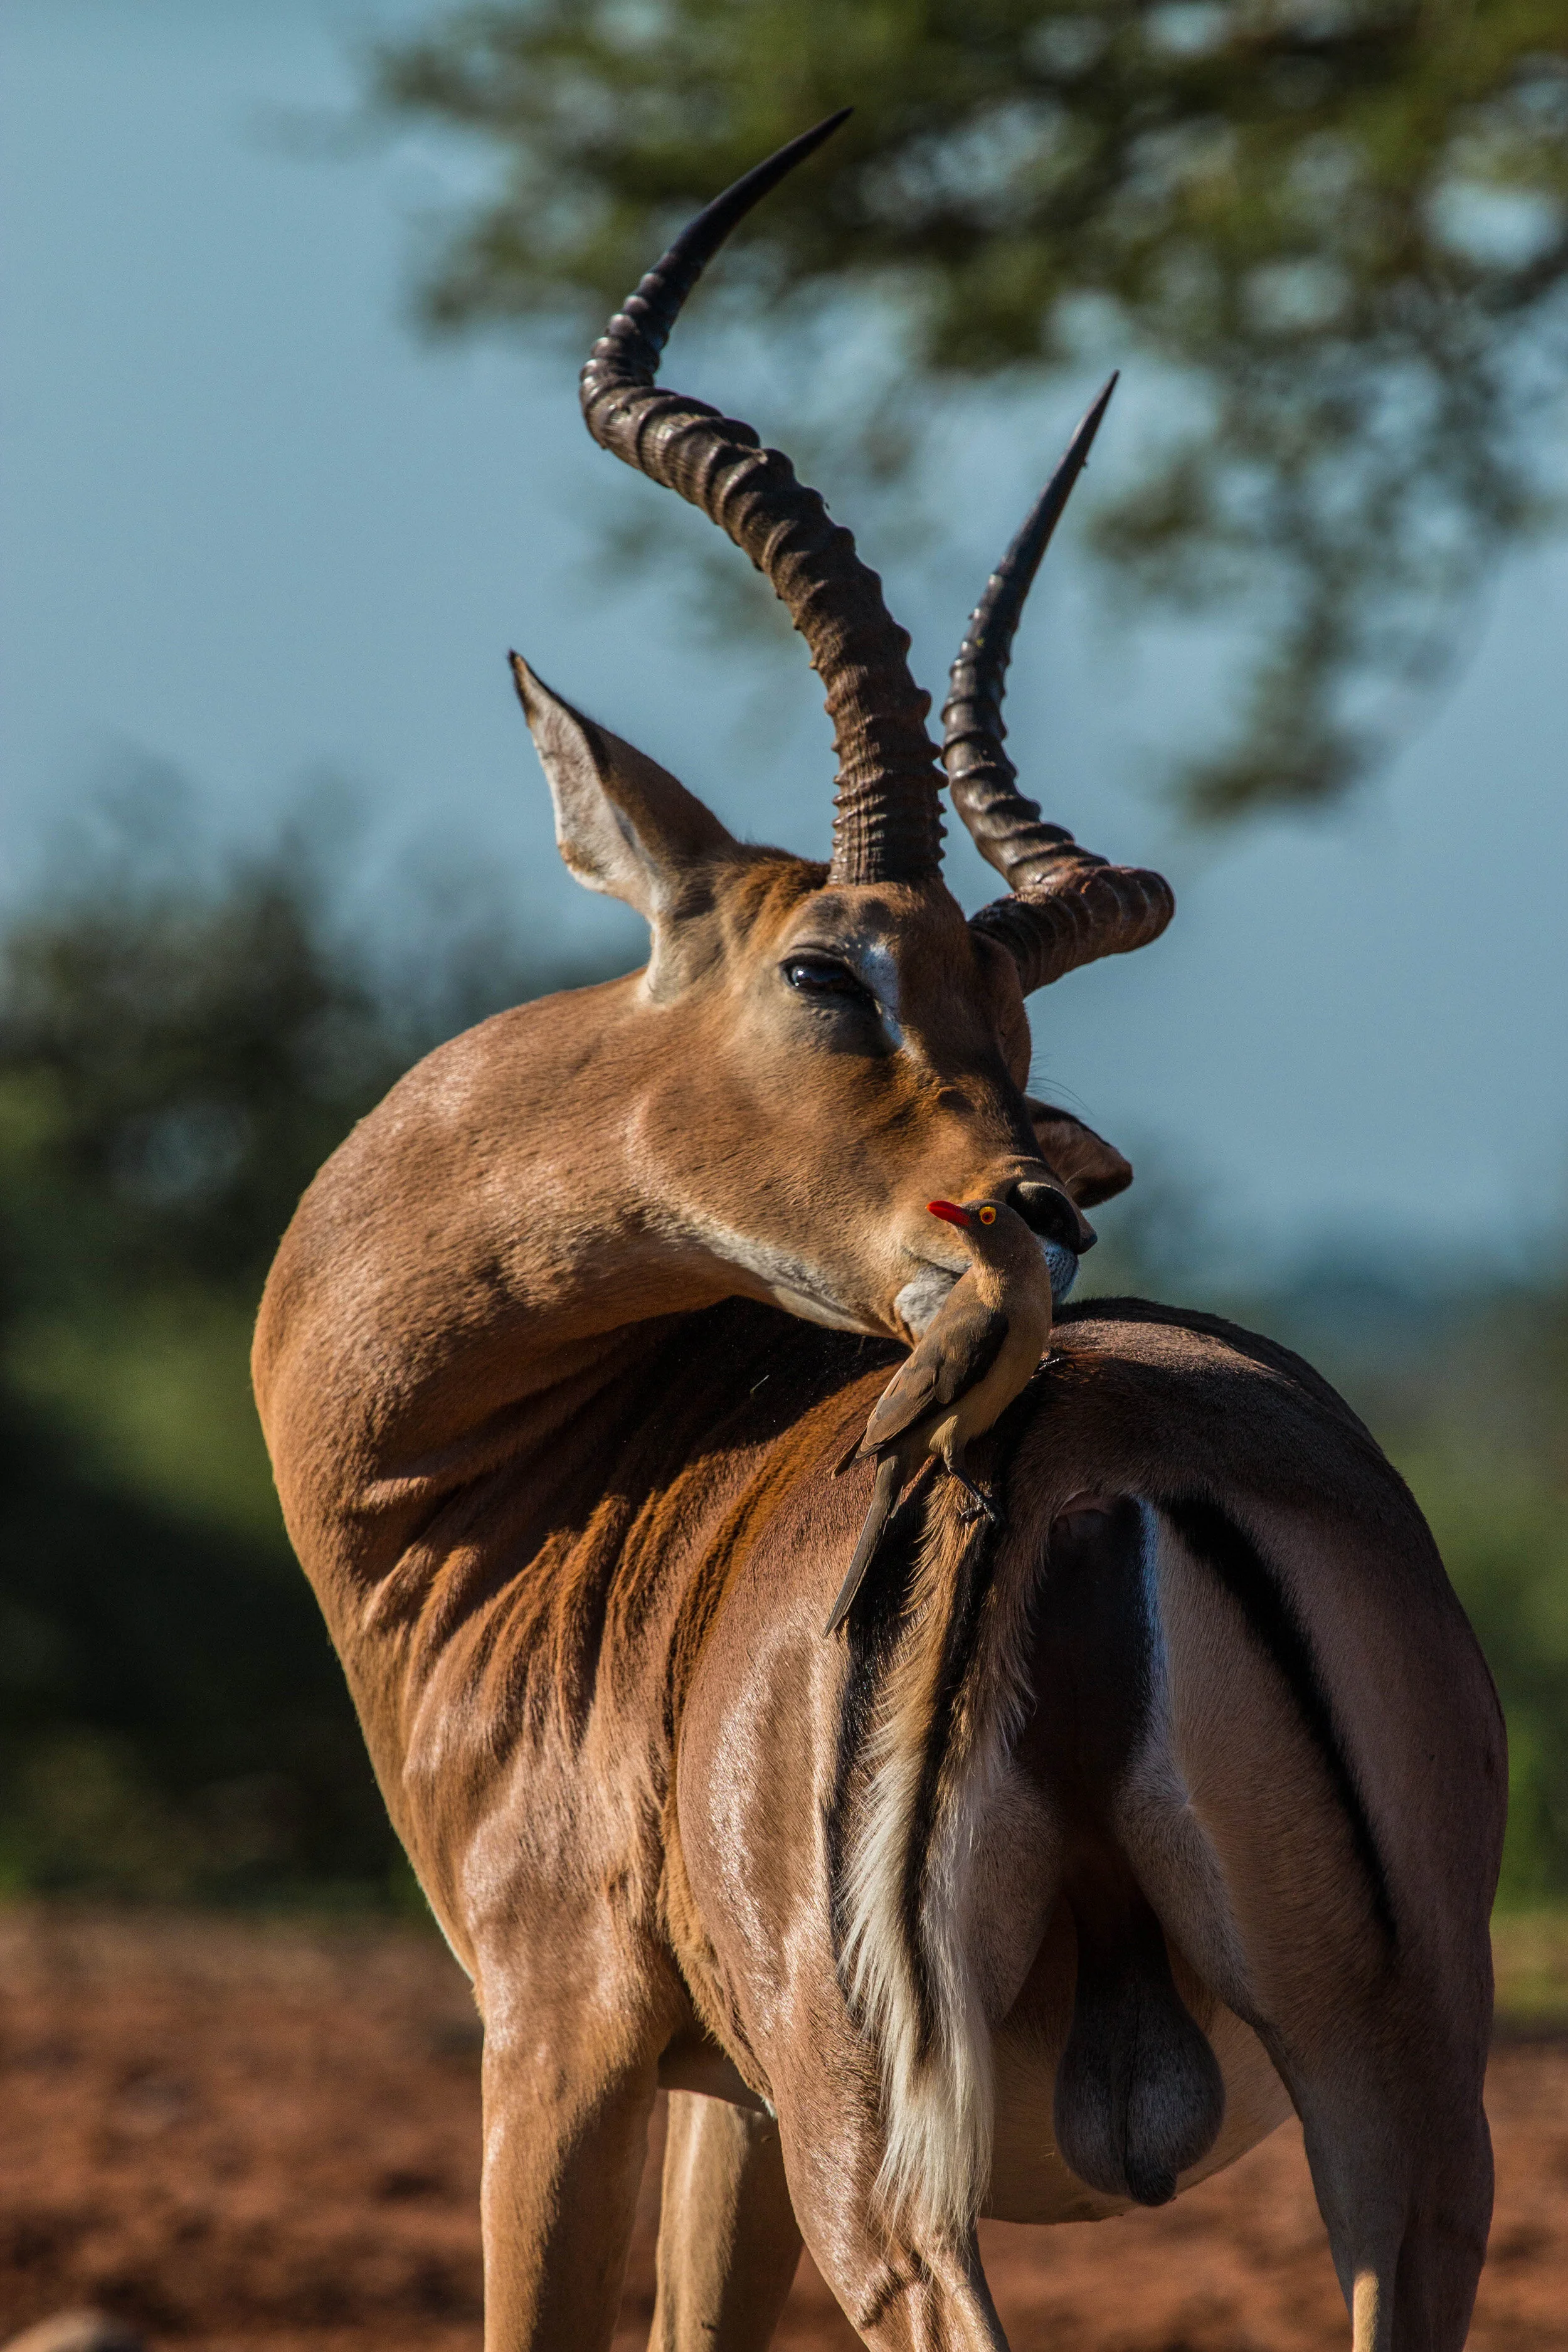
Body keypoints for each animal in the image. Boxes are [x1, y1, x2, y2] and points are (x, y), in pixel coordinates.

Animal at [253, 116, 1505, 2352]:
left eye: (1003, 1017)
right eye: (833, 971)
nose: (1029, 1223)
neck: (518, 1495)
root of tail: (1113, 1486)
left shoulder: (560, 2036)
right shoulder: (723, 2095)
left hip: (889, 2145)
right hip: (1400, 2099)